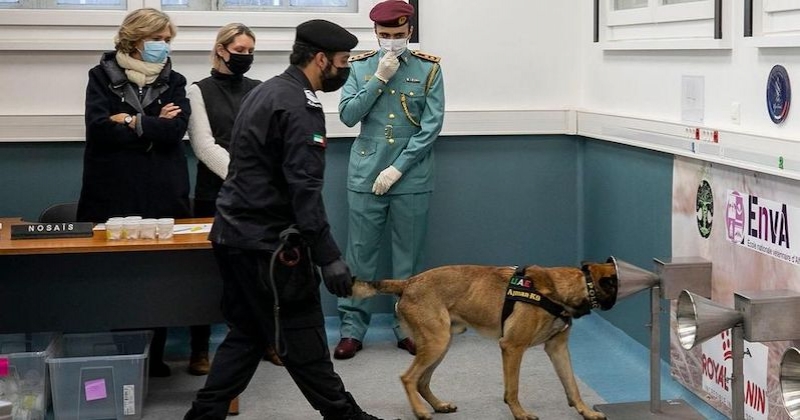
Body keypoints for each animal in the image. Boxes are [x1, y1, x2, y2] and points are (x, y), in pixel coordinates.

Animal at [354, 262, 620, 420]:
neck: (560, 290)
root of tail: (408, 282)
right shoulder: (512, 348)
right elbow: (512, 389)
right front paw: (520, 414)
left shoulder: (558, 349)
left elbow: (572, 386)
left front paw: (586, 412)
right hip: (436, 343)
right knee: (409, 378)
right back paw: (420, 411)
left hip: (441, 344)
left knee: (422, 381)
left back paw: (439, 406)